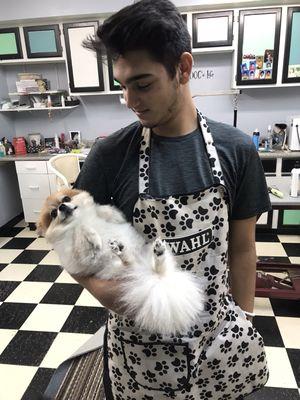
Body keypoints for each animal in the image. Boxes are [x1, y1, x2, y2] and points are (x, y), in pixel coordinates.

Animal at [36, 189, 205, 332]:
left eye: (66, 198)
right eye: (53, 213)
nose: (62, 207)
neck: (77, 220)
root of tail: (149, 276)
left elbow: (103, 211)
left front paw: (104, 212)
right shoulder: (79, 258)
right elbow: (81, 231)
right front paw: (93, 238)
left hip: (145, 251)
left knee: (160, 268)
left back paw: (157, 254)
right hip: (118, 270)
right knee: (129, 264)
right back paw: (123, 251)